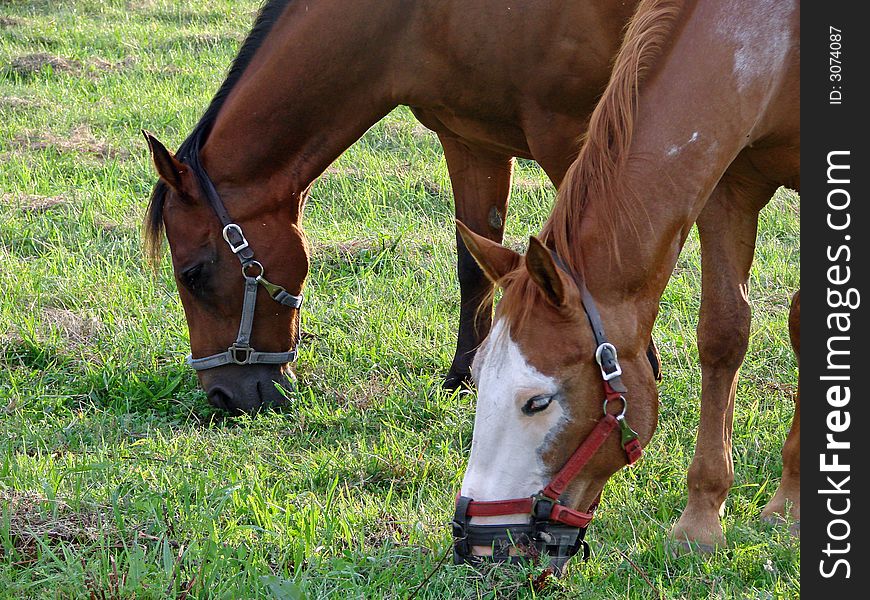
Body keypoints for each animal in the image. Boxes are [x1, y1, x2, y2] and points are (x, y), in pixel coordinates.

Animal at [143, 0, 644, 412]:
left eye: (193, 275)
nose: (222, 396)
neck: (415, 17)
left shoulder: (570, 140)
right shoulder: (471, 142)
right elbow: (473, 267)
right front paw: (462, 378)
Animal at [456, 0, 804, 564]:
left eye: (538, 402)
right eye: (479, 378)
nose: (478, 542)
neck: (779, 38)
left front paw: (790, 499)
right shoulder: (729, 183)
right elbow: (723, 333)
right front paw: (701, 520)